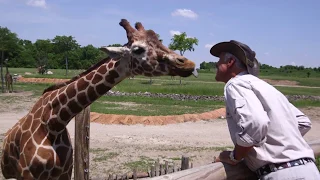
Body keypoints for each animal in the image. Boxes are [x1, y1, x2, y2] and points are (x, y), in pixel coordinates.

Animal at [0, 19, 198, 179]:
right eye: (138, 49)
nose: (188, 64)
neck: (54, 122)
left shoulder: (64, 172)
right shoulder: (28, 175)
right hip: (11, 174)